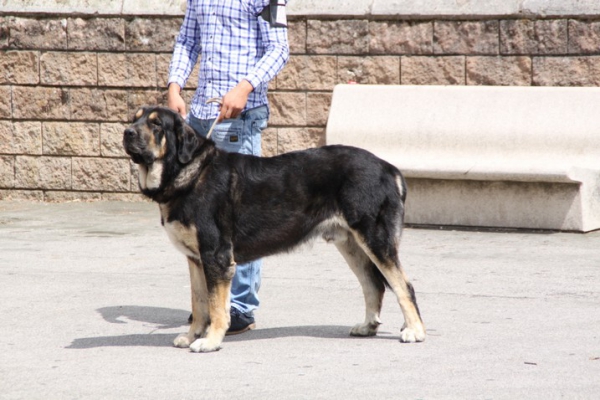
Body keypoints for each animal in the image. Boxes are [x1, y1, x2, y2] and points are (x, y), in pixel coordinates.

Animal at [122, 106, 424, 354]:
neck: (190, 173)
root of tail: (389, 168)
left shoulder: (216, 256)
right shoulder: (196, 259)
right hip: (351, 243)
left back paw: (415, 331)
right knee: (373, 284)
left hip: (375, 238)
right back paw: (368, 326)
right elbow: (199, 304)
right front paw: (192, 336)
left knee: (403, 285)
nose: (127, 132)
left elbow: (216, 307)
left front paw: (210, 341)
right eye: (133, 118)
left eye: (156, 124)